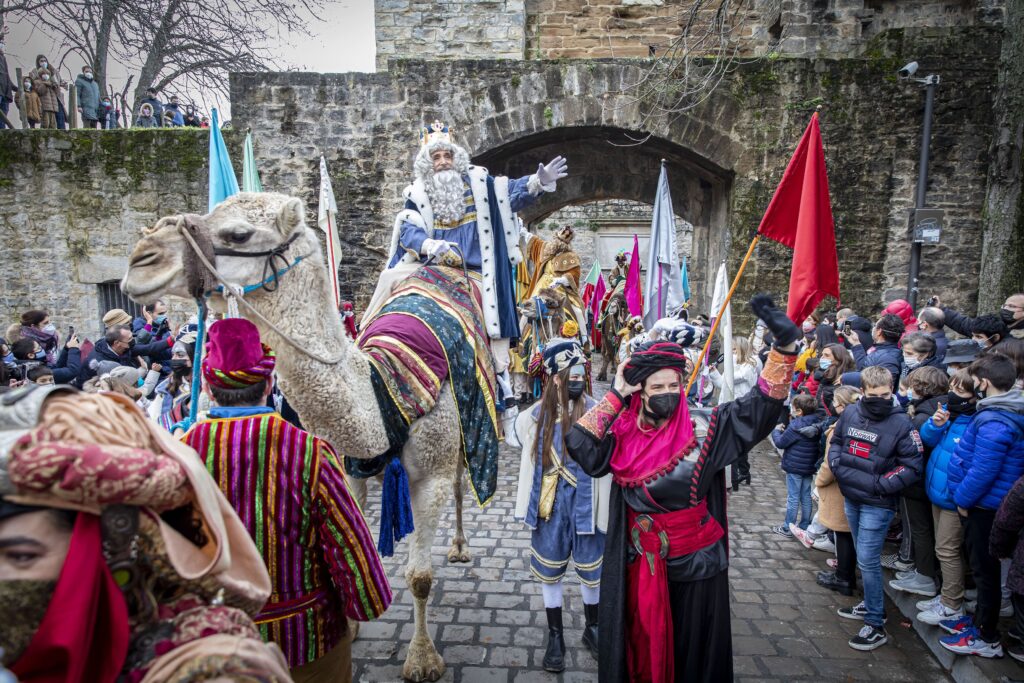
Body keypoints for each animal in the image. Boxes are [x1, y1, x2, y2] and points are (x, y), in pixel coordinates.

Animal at [121, 192, 473, 683]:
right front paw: (349, 625)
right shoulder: (349, 467)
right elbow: (352, 539)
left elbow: (419, 577)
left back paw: (458, 547)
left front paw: (422, 659)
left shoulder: (431, 472)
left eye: (238, 233)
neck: (379, 387)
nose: (141, 259)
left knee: (460, 484)